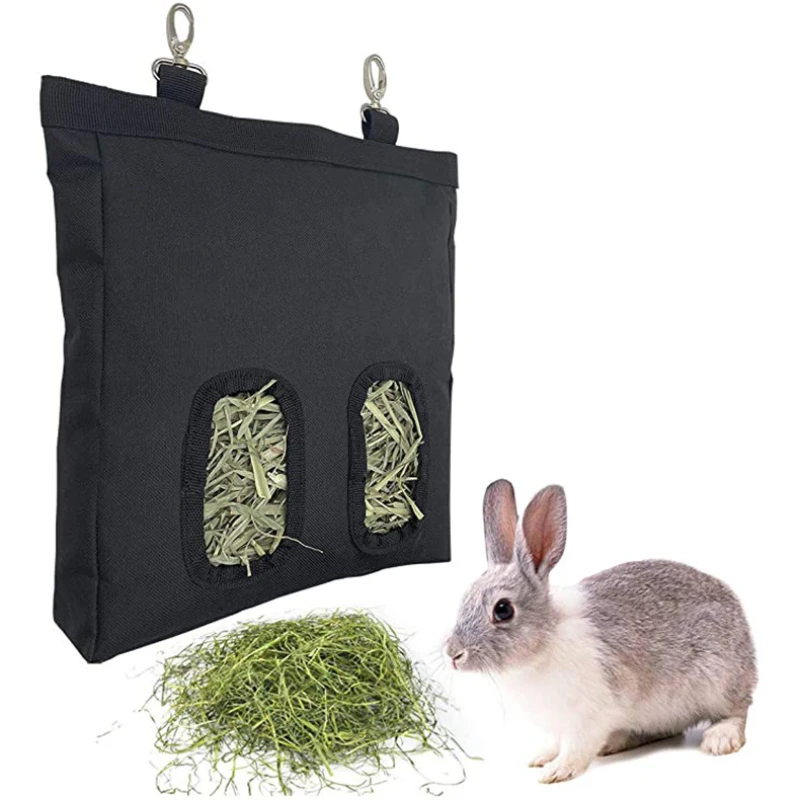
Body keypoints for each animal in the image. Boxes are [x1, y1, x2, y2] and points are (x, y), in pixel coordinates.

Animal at [444, 481, 756, 783]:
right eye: (464, 598)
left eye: (503, 610)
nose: (453, 654)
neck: (545, 641)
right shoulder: (558, 724)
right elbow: (554, 742)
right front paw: (540, 758)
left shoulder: (587, 717)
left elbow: (576, 748)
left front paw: (556, 771)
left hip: (719, 681)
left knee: (738, 711)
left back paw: (720, 739)